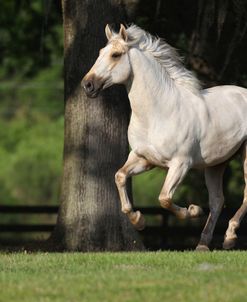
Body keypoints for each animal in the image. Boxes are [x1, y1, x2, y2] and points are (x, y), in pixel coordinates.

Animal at [82, 23, 247, 250]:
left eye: (115, 55)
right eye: (100, 53)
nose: (87, 85)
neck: (159, 113)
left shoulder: (181, 164)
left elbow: (164, 198)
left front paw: (193, 210)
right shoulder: (144, 159)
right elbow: (120, 176)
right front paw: (139, 221)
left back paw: (229, 237)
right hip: (216, 164)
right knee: (217, 201)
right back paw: (204, 244)